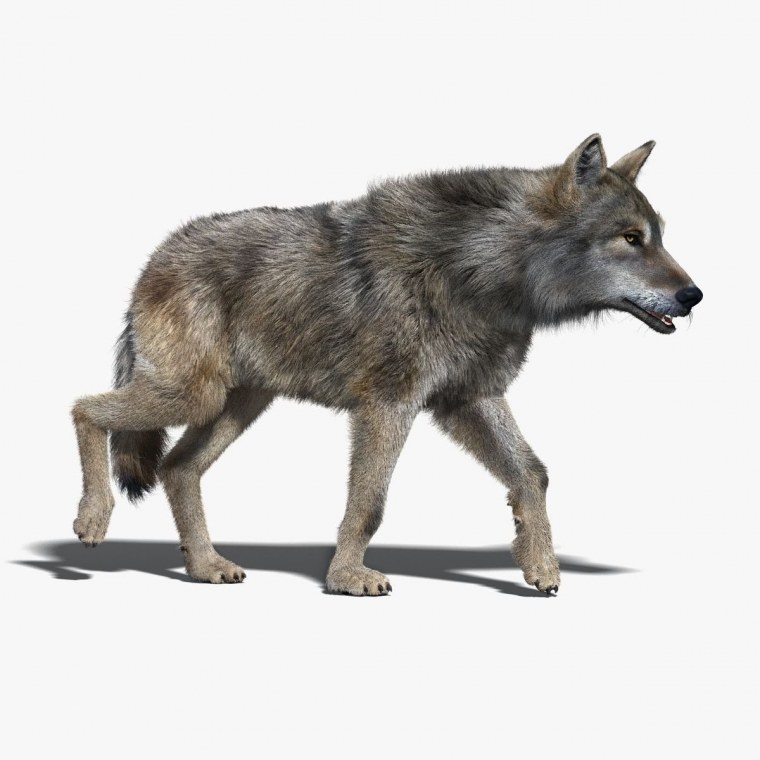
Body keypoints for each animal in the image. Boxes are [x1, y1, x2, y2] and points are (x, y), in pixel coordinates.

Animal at [71, 134, 702, 595]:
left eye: (658, 238)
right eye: (631, 239)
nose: (695, 295)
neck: (480, 270)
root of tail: (154, 259)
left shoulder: (469, 399)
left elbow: (533, 473)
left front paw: (541, 567)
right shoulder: (388, 404)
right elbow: (369, 503)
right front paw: (348, 579)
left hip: (236, 405)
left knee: (177, 468)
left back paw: (205, 567)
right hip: (194, 397)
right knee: (85, 409)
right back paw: (93, 520)